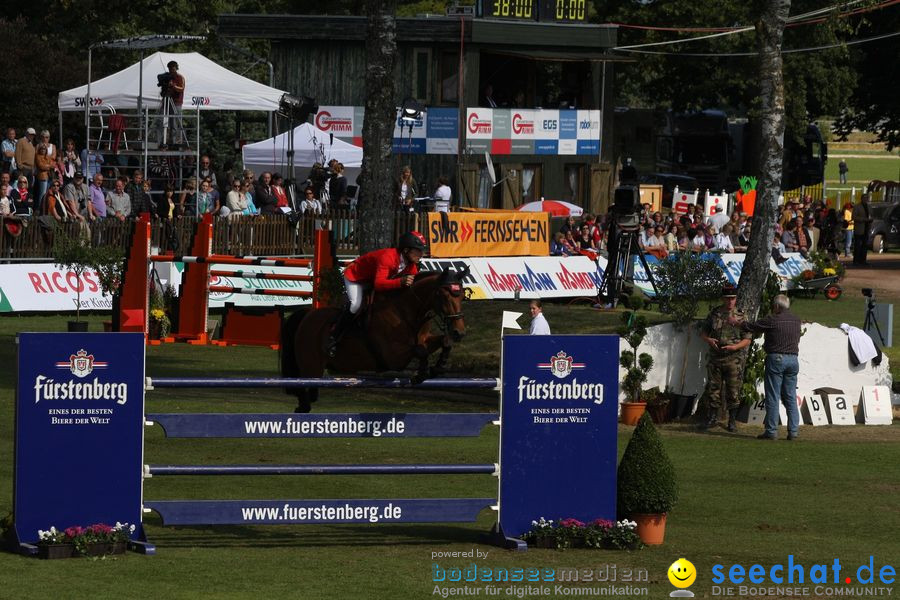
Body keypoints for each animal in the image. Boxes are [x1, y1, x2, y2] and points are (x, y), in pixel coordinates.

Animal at [280, 268, 472, 412]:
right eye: (444, 295)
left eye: (462, 295)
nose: (459, 332)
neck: (406, 311)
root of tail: (307, 315)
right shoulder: (393, 357)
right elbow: (419, 350)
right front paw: (422, 373)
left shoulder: (424, 339)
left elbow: (443, 342)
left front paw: (438, 367)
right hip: (310, 366)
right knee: (304, 392)